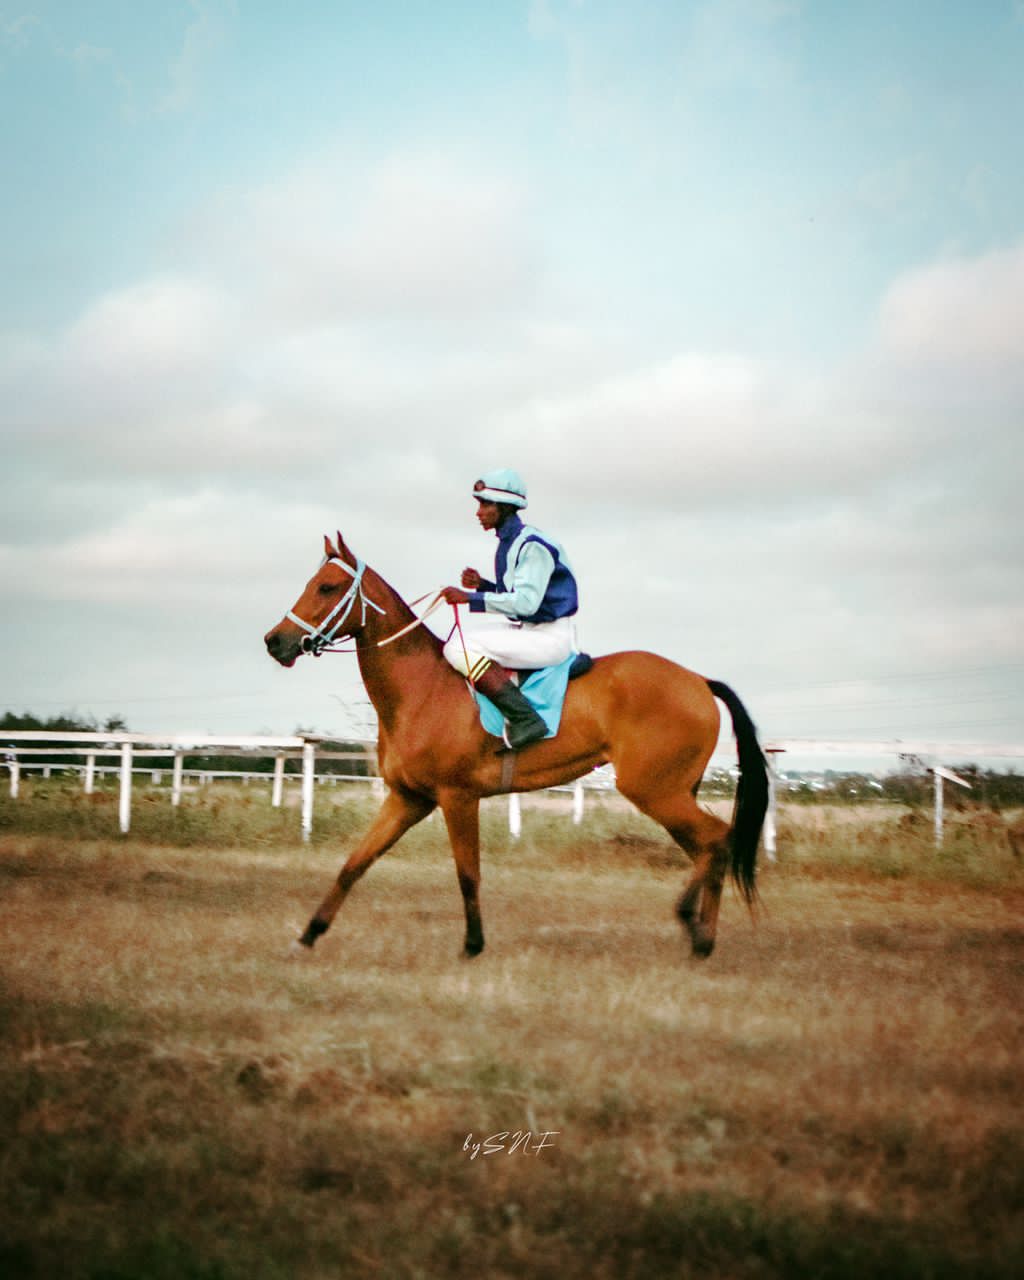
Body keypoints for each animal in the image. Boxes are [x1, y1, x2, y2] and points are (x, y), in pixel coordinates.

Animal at [264, 533, 769, 959]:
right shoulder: (407, 799)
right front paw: (308, 934)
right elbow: (354, 864)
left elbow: (468, 874)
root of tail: (699, 681)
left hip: (654, 790)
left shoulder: (456, 798)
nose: (275, 641)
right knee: (709, 848)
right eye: (312, 583)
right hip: (674, 792)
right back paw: (701, 935)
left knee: (717, 841)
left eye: (327, 587)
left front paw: (473, 944)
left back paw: (694, 926)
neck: (421, 689)